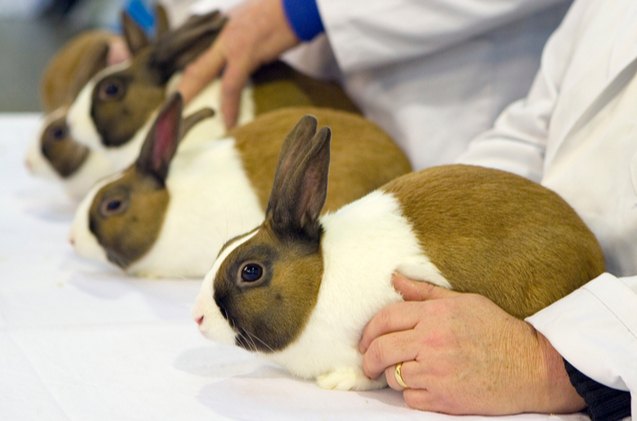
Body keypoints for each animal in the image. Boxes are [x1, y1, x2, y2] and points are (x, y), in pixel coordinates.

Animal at [190, 117, 608, 390]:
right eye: (222, 248)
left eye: (250, 272)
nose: (197, 317)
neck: (319, 283)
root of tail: (593, 252)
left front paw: (337, 382)